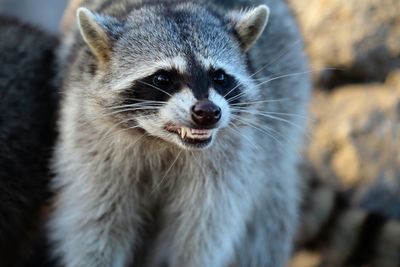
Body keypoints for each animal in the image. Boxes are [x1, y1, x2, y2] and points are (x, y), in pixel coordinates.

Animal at [50, 0, 310, 266]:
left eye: (219, 76)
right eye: (162, 78)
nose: (208, 112)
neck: (164, 143)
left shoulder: (231, 163)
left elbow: (205, 232)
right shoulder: (93, 149)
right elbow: (96, 223)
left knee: (265, 227)